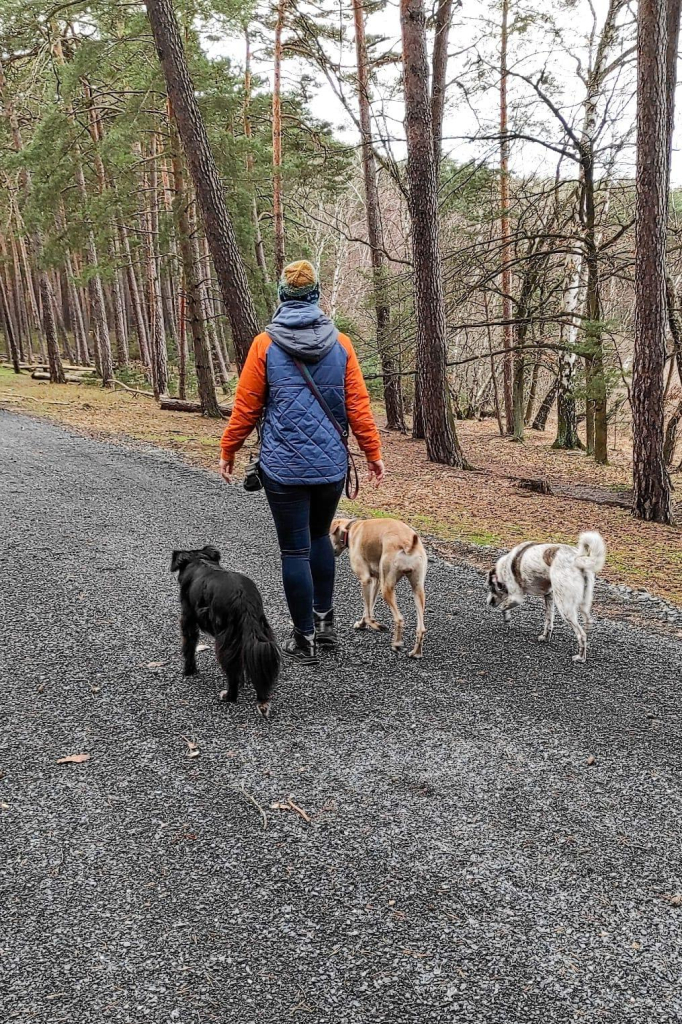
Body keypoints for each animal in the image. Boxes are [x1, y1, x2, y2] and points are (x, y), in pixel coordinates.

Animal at [169, 548, 278, 716]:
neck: (200, 560)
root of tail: (243, 600)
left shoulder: (188, 618)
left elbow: (189, 647)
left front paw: (189, 670)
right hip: (259, 633)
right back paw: (262, 699)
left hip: (225, 640)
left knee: (232, 671)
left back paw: (229, 696)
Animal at [329, 520, 425, 655]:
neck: (350, 528)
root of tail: (408, 544)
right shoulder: (376, 581)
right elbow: (369, 608)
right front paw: (362, 624)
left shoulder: (365, 580)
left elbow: (368, 612)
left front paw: (374, 625)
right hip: (418, 590)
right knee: (421, 628)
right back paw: (416, 653)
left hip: (387, 589)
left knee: (399, 619)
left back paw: (397, 644)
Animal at [483, 528, 606, 663]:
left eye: (491, 587)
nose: (488, 602)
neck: (504, 569)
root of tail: (578, 560)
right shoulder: (549, 596)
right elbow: (549, 621)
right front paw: (545, 637)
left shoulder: (516, 597)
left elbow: (503, 607)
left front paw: (506, 617)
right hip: (583, 604)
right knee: (587, 623)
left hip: (564, 607)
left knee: (581, 634)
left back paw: (580, 657)